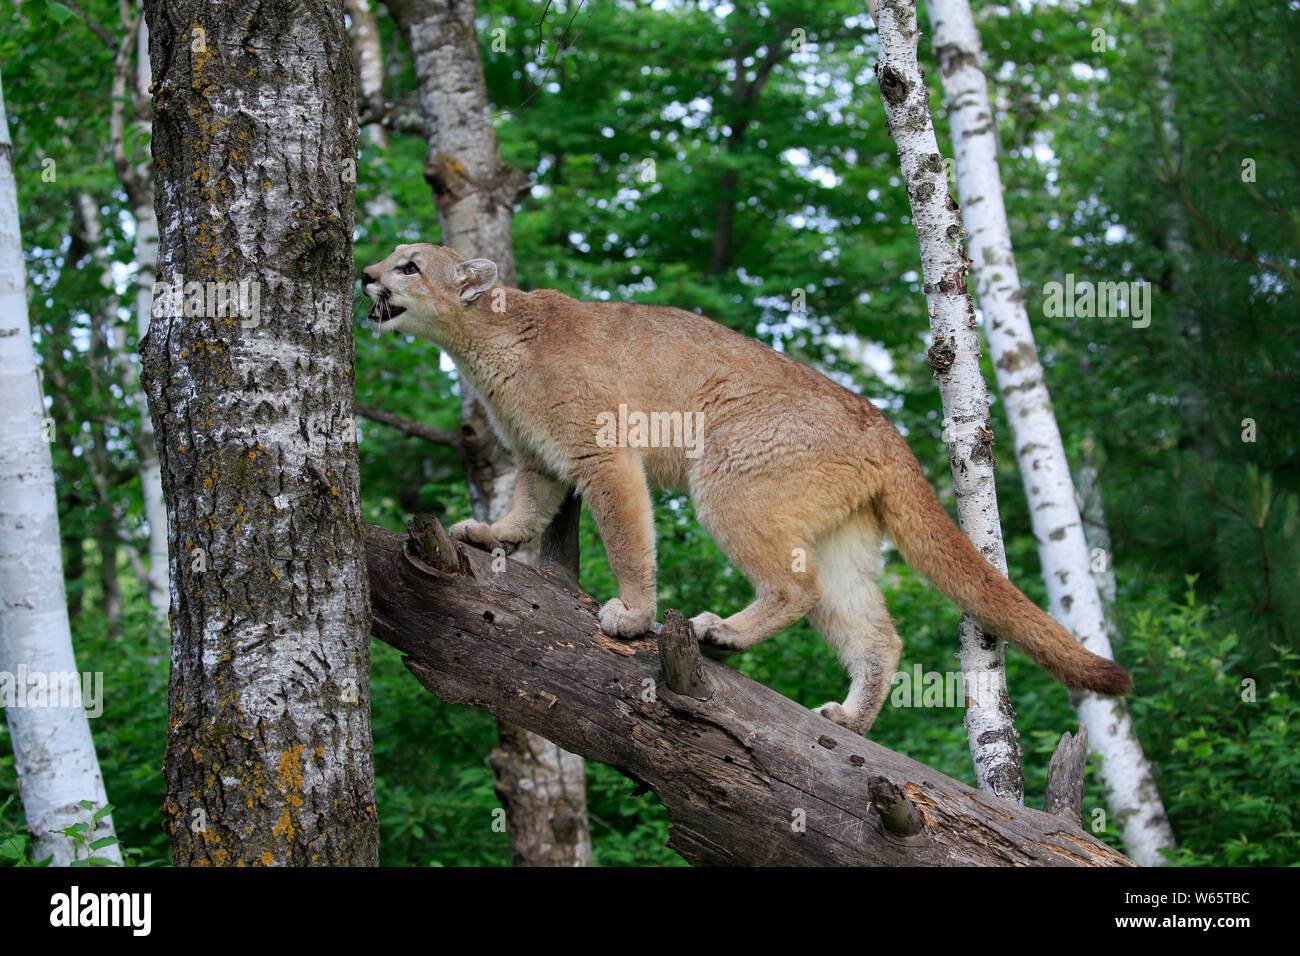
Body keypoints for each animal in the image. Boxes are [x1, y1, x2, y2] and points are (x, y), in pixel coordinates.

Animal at [364, 243, 1128, 738]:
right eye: (391, 257)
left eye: (410, 264)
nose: (365, 274)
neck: (486, 338)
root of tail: (885, 427)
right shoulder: (539, 459)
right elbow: (525, 508)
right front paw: (491, 534)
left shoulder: (604, 451)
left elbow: (627, 538)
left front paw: (633, 615)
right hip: (842, 535)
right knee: (874, 630)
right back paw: (850, 718)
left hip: (727, 481)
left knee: (798, 587)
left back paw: (721, 631)